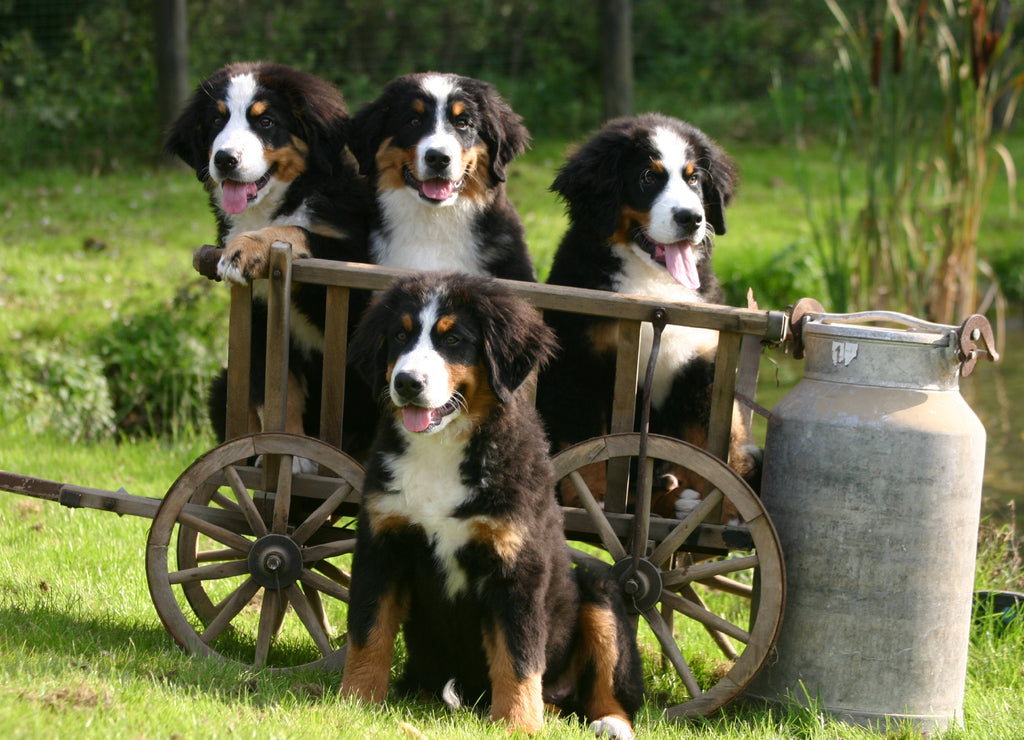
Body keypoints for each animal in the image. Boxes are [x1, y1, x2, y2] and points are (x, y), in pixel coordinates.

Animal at [165, 62, 374, 456]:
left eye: (265, 122)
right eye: (216, 121)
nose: (224, 159)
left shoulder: (351, 273)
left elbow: (295, 231)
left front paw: (247, 248)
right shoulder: (260, 314)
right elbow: (274, 390)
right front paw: (284, 450)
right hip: (221, 384)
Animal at [346, 274, 647, 736]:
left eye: (453, 339)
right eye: (399, 335)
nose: (407, 382)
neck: (441, 450)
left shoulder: (515, 564)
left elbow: (519, 656)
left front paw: (519, 725)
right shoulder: (382, 545)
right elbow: (368, 631)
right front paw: (354, 703)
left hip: (601, 591)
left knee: (607, 687)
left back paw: (609, 723)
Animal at [536, 115, 761, 517]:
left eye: (693, 178)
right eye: (648, 177)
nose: (692, 218)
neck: (655, 289)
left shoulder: (699, 365)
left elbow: (708, 449)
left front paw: (717, 508)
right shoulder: (579, 366)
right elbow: (589, 446)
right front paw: (594, 501)